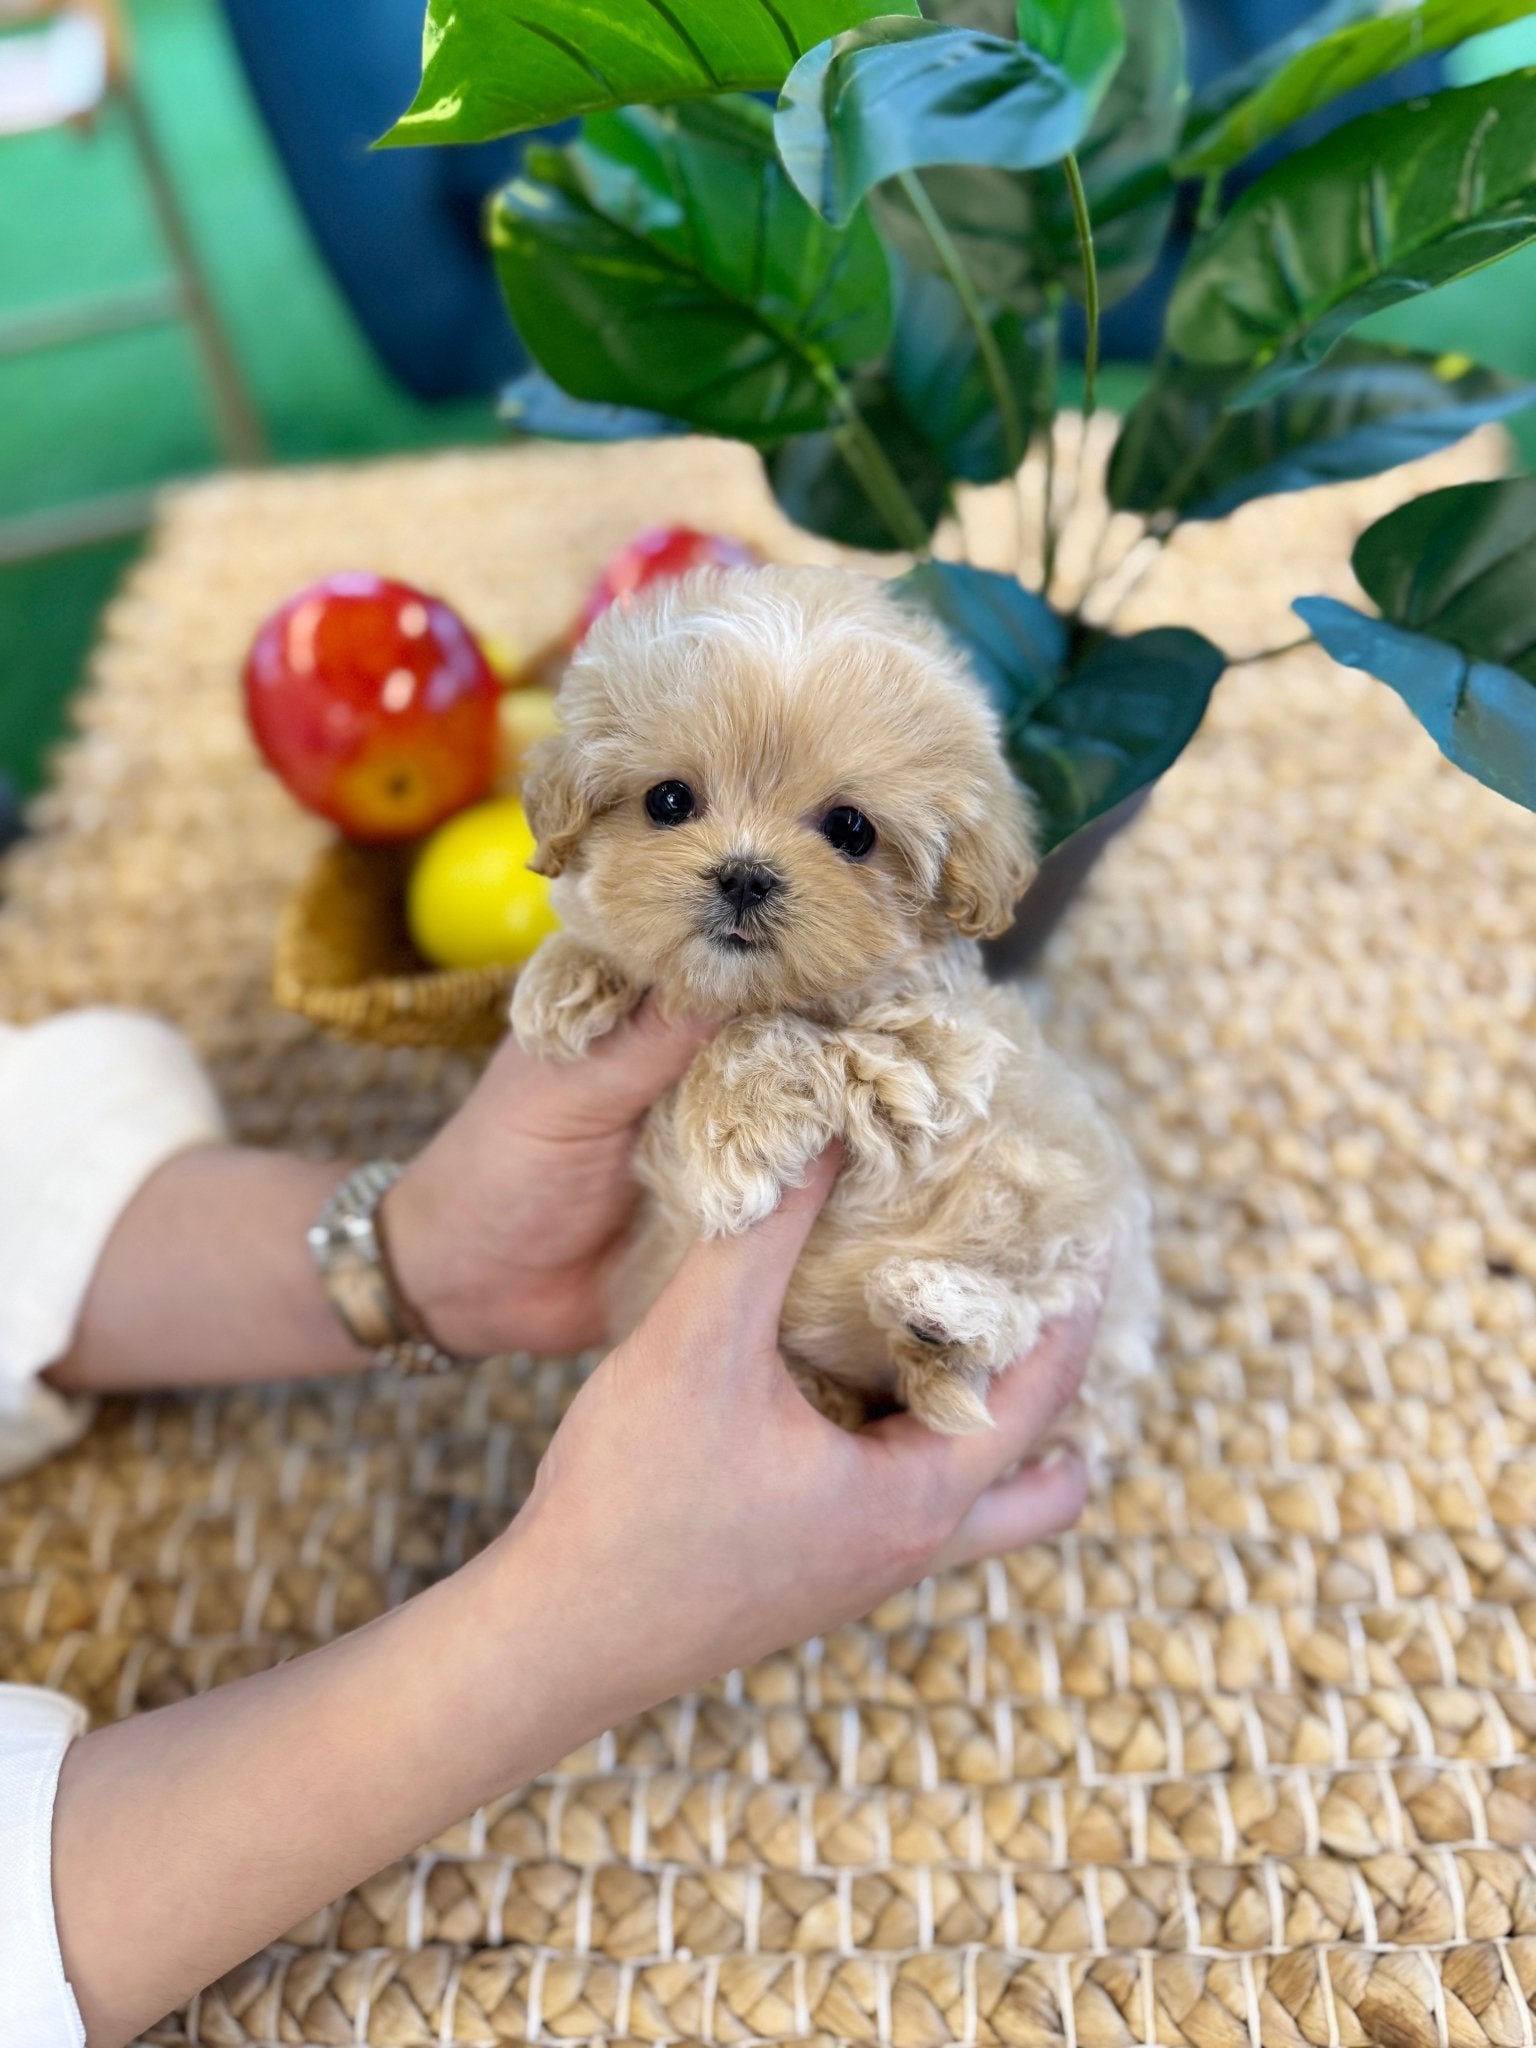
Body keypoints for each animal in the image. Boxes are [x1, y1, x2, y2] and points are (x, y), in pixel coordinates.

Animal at [512, 561, 1163, 1441]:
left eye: (852, 829)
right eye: (669, 801)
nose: (745, 875)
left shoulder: (933, 1057)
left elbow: (787, 1038)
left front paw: (732, 1134)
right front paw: (567, 975)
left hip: (1076, 1230)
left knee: (1023, 1312)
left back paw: (942, 1311)